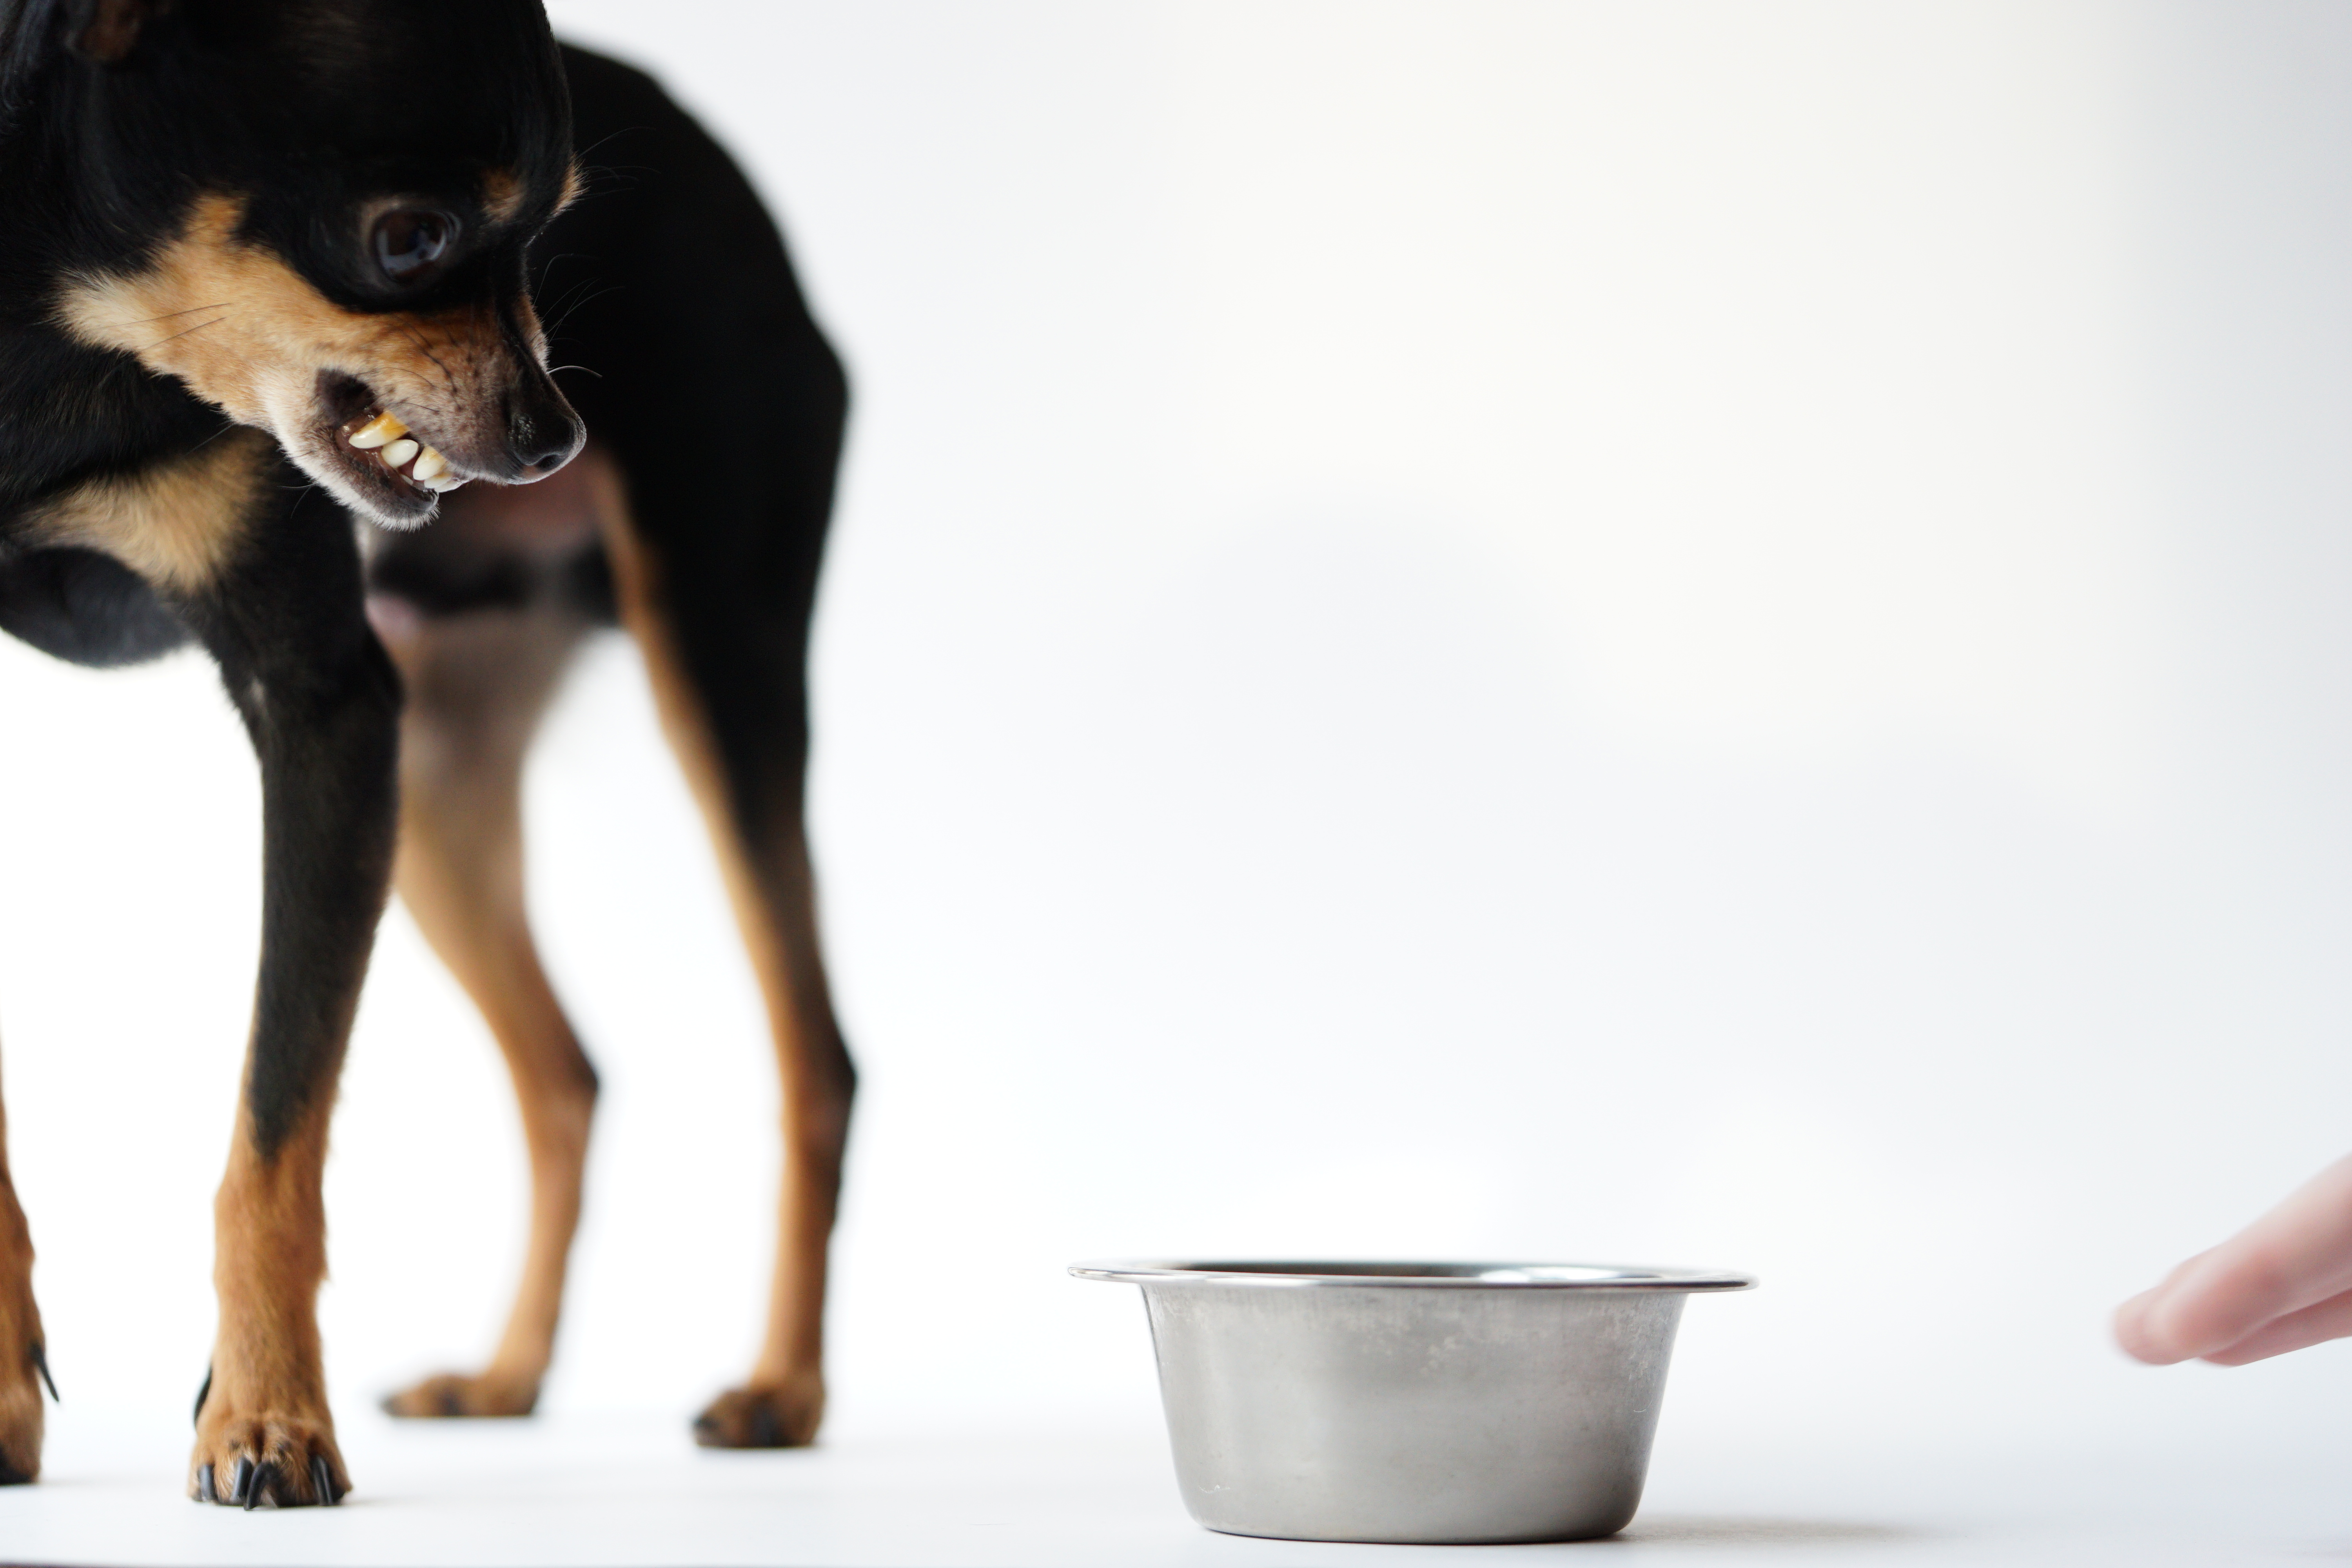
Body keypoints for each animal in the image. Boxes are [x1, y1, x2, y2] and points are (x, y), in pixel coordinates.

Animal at [0, 0, 861, 1504]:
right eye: (410, 241)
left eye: (552, 227)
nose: (556, 432)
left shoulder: (327, 710)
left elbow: (274, 1136)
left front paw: (267, 1423)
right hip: (443, 780)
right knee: (565, 1072)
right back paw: (508, 1377)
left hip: (713, 660)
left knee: (814, 1057)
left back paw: (781, 1390)